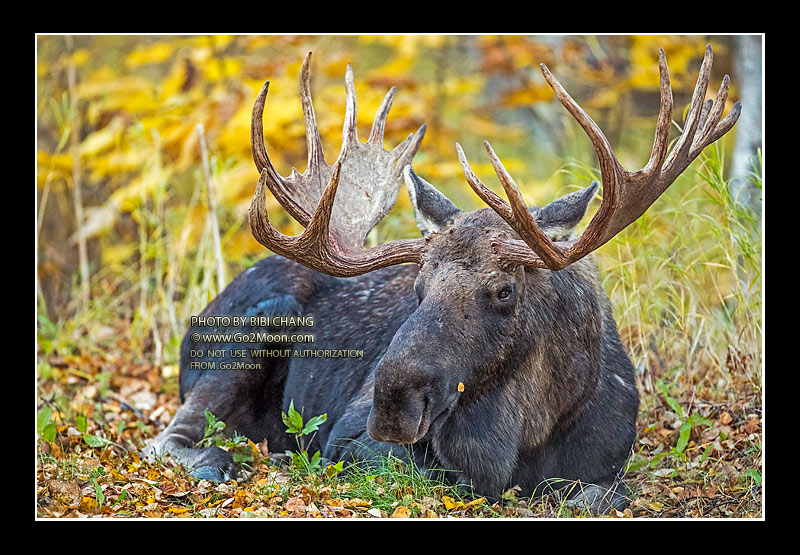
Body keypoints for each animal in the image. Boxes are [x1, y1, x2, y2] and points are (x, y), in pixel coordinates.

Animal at [145, 45, 740, 513]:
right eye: (418, 287)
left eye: (504, 290)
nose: (390, 403)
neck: (530, 432)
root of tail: (199, 318)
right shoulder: (346, 442)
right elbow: (436, 475)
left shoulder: (608, 466)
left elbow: (601, 494)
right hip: (252, 334)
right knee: (168, 437)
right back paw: (216, 459)